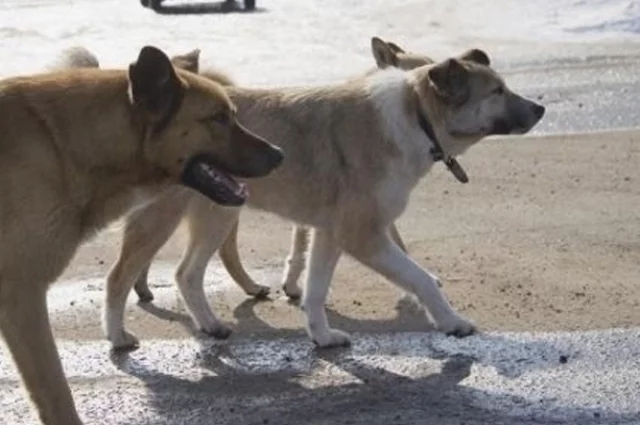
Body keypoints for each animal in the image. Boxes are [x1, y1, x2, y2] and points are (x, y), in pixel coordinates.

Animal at [0, 45, 282, 424]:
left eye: (233, 115)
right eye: (219, 118)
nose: (280, 155)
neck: (62, 145)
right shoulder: (22, 298)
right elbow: (55, 392)